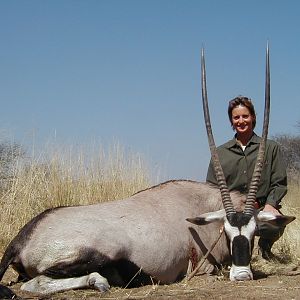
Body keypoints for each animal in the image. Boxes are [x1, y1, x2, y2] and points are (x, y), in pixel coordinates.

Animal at [0, 45, 296, 296]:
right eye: (228, 231)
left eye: (254, 232)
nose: (242, 275)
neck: (201, 207)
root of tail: (22, 239)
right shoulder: (203, 267)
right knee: (35, 283)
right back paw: (100, 282)